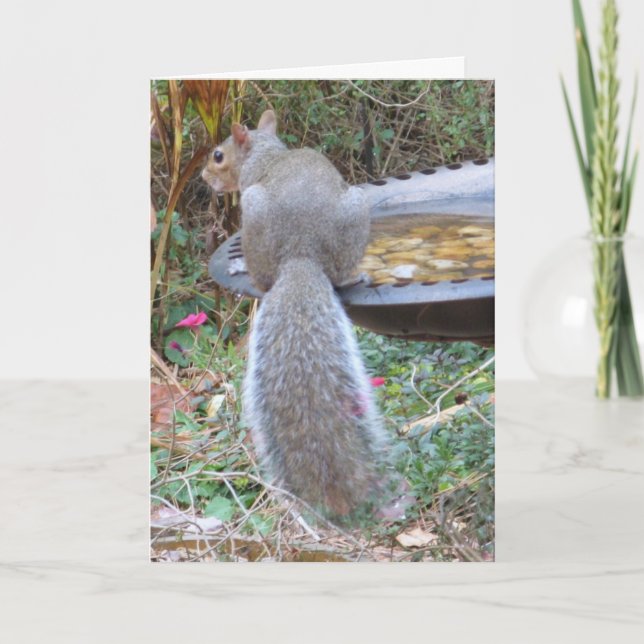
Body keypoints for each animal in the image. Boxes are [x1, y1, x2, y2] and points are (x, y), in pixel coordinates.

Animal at [202, 109, 387, 517]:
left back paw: (242, 266)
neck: (266, 152)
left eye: (219, 156)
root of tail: (302, 254)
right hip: (356, 206)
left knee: (263, 275)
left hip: (253, 210)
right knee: (340, 273)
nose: (204, 177)